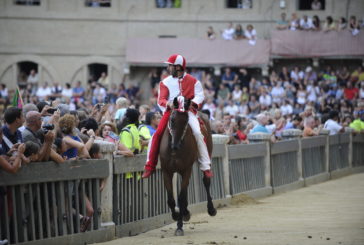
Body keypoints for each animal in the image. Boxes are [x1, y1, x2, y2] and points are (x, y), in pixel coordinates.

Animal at [159, 95, 216, 235]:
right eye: (172, 120)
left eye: (186, 121)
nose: (175, 145)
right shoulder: (167, 171)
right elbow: (171, 199)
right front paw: (176, 215)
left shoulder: (186, 169)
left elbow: (181, 198)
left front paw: (179, 226)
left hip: (206, 154)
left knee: (206, 180)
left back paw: (211, 209)